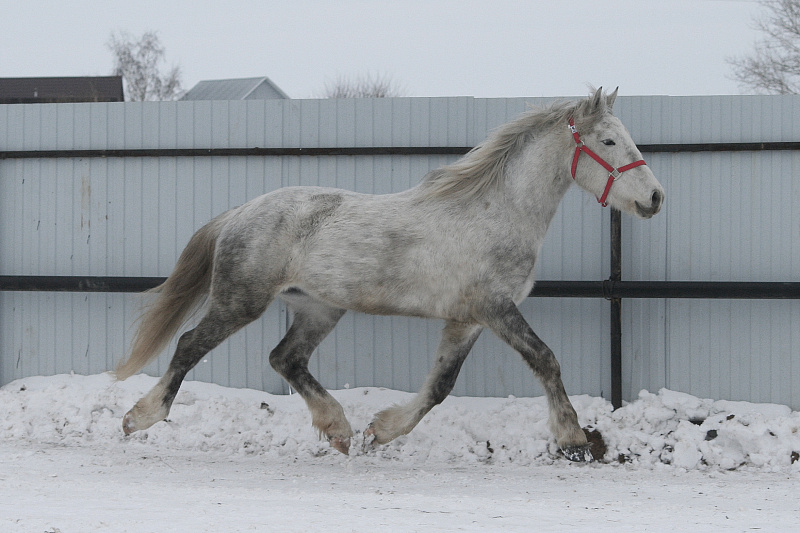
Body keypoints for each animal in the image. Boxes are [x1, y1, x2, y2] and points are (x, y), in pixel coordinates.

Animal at [115, 87, 664, 462]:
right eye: (609, 140)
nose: (655, 198)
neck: (495, 212)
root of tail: (239, 212)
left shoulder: (467, 321)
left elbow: (440, 385)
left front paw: (380, 431)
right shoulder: (495, 308)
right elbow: (545, 359)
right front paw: (575, 439)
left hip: (318, 308)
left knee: (285, 359)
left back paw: (338, 430)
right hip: (241, 300)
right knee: (190, 345)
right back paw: (139, 418)